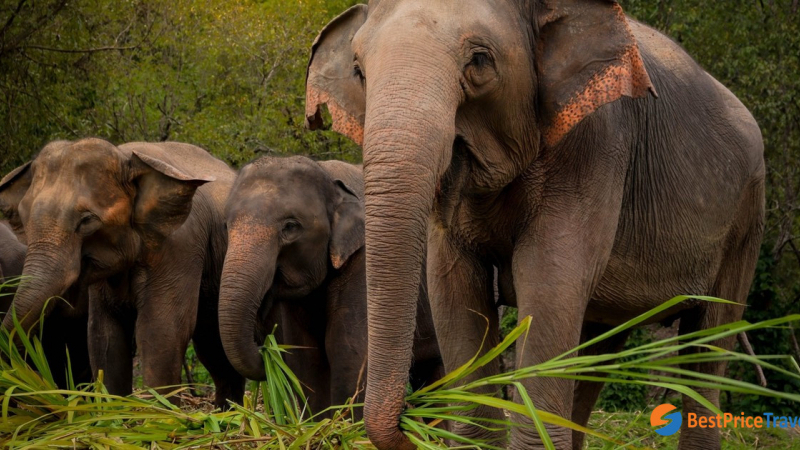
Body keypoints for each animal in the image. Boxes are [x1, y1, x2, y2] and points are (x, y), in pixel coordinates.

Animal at [0, 138, 244, 408]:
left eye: (86, 220)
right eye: (24, 217)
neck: (125, 157)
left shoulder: (180, 245)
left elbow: (162, 329)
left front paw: (156, 413)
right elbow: (103, 334)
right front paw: (117, 410)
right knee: (213, 346)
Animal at [218, 155, 444, 418]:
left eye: (290, 227)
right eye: (226, 226)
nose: (266, 351)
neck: (327, 174)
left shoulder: (366, 261)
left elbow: (347, 348)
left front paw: (344, 423)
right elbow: (305, 355)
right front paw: (320, 422)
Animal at [305, 1, 765, 449]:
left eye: (479, 60)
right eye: (359, 71)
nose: (410, 424)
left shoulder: (595, 142)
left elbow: (548, 281)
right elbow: (452, 285)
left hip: (746, 218)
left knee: (709, 340)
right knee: (598, 347)